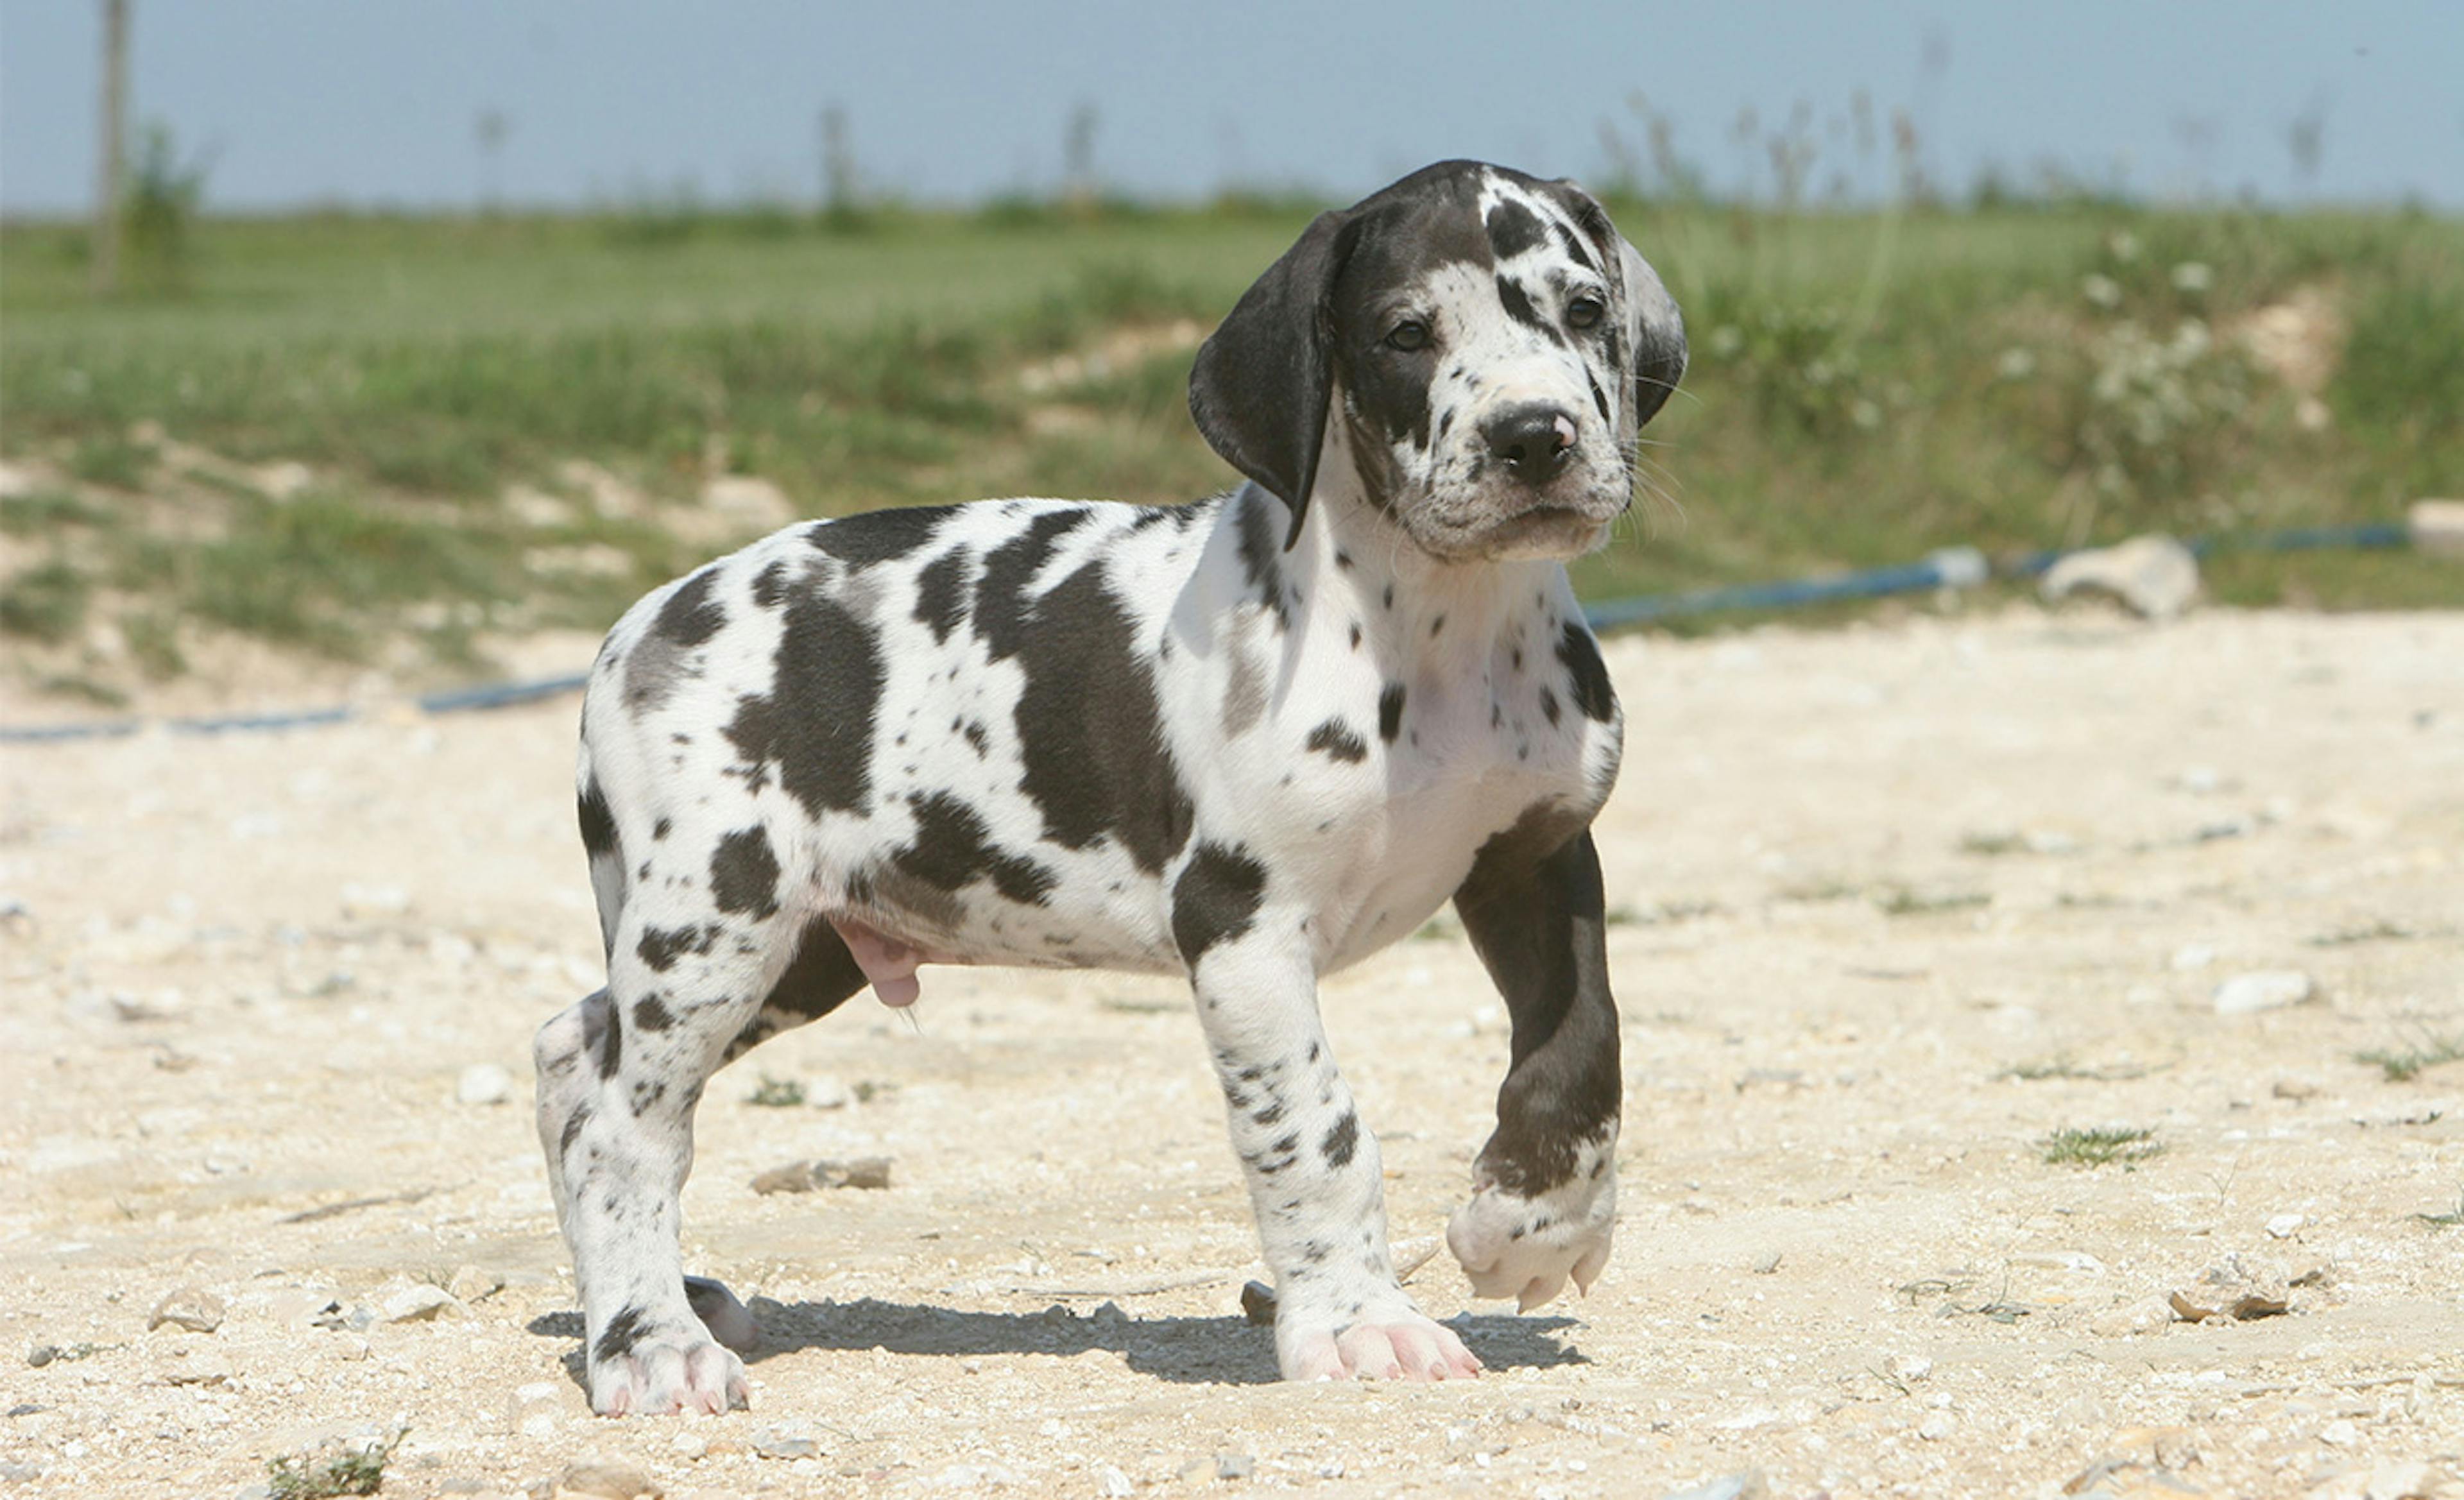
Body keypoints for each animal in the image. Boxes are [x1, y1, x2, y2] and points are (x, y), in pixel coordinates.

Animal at [535, 157, 1695, 1408]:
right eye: (1406, 333)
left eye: (1586, 307)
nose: (1536, 437)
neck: (1439, 632)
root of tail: (641, 626)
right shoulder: (1242, 927)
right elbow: (1319, 1132)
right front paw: (1360, 1323)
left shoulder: (1539, 856)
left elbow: (1584, 1047)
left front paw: (1533, 1223)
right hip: (718, 924)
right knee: (624, 1130)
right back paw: (649, 1339)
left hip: (800, 948)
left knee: (573, 1051)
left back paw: (646, 1299)